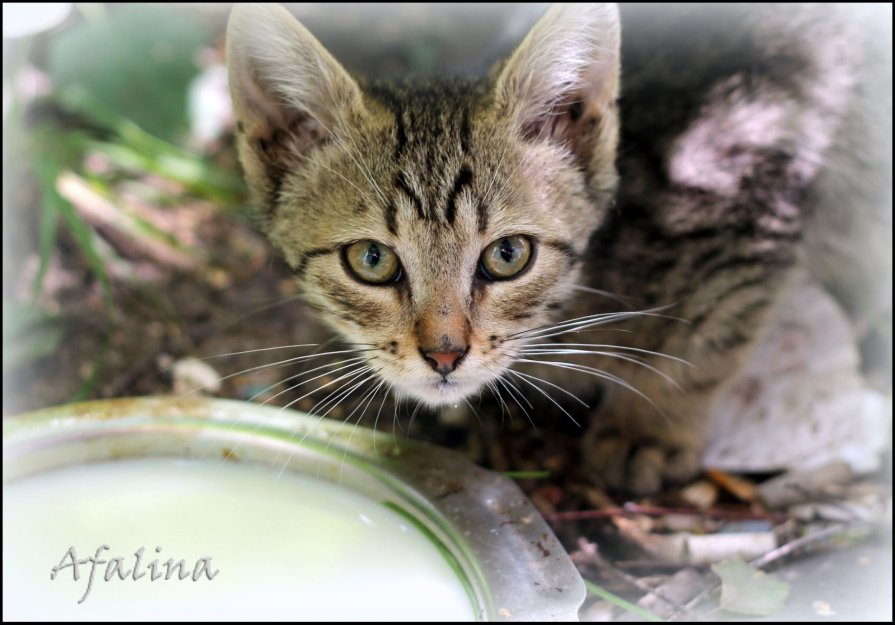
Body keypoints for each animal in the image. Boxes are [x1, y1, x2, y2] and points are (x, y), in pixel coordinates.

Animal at [224, 3, 888, 492]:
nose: (444, 355)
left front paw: (651, 425)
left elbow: (707, 337)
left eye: (508, 255)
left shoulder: (753, 195)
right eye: (371, 260)